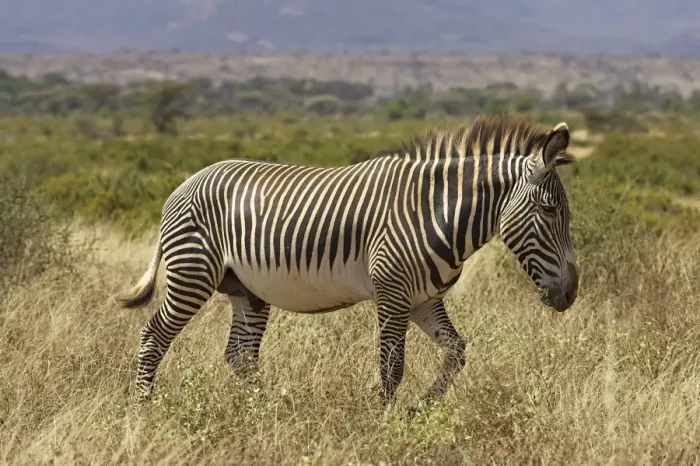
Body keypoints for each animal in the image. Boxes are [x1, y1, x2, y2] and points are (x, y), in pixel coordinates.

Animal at [116, 114, 579, 407]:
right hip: (192, 273)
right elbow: (392, 367)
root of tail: (184, 184)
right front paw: (385, 424)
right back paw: (143, 410)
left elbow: (457, 352)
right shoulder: (392, 294)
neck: (437, 212)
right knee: (154, 336)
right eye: (550, 211)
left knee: (240, 355)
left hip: (246, 288)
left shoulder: (423, 300)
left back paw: (265, 412)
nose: (571, 294)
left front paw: (422, 407)